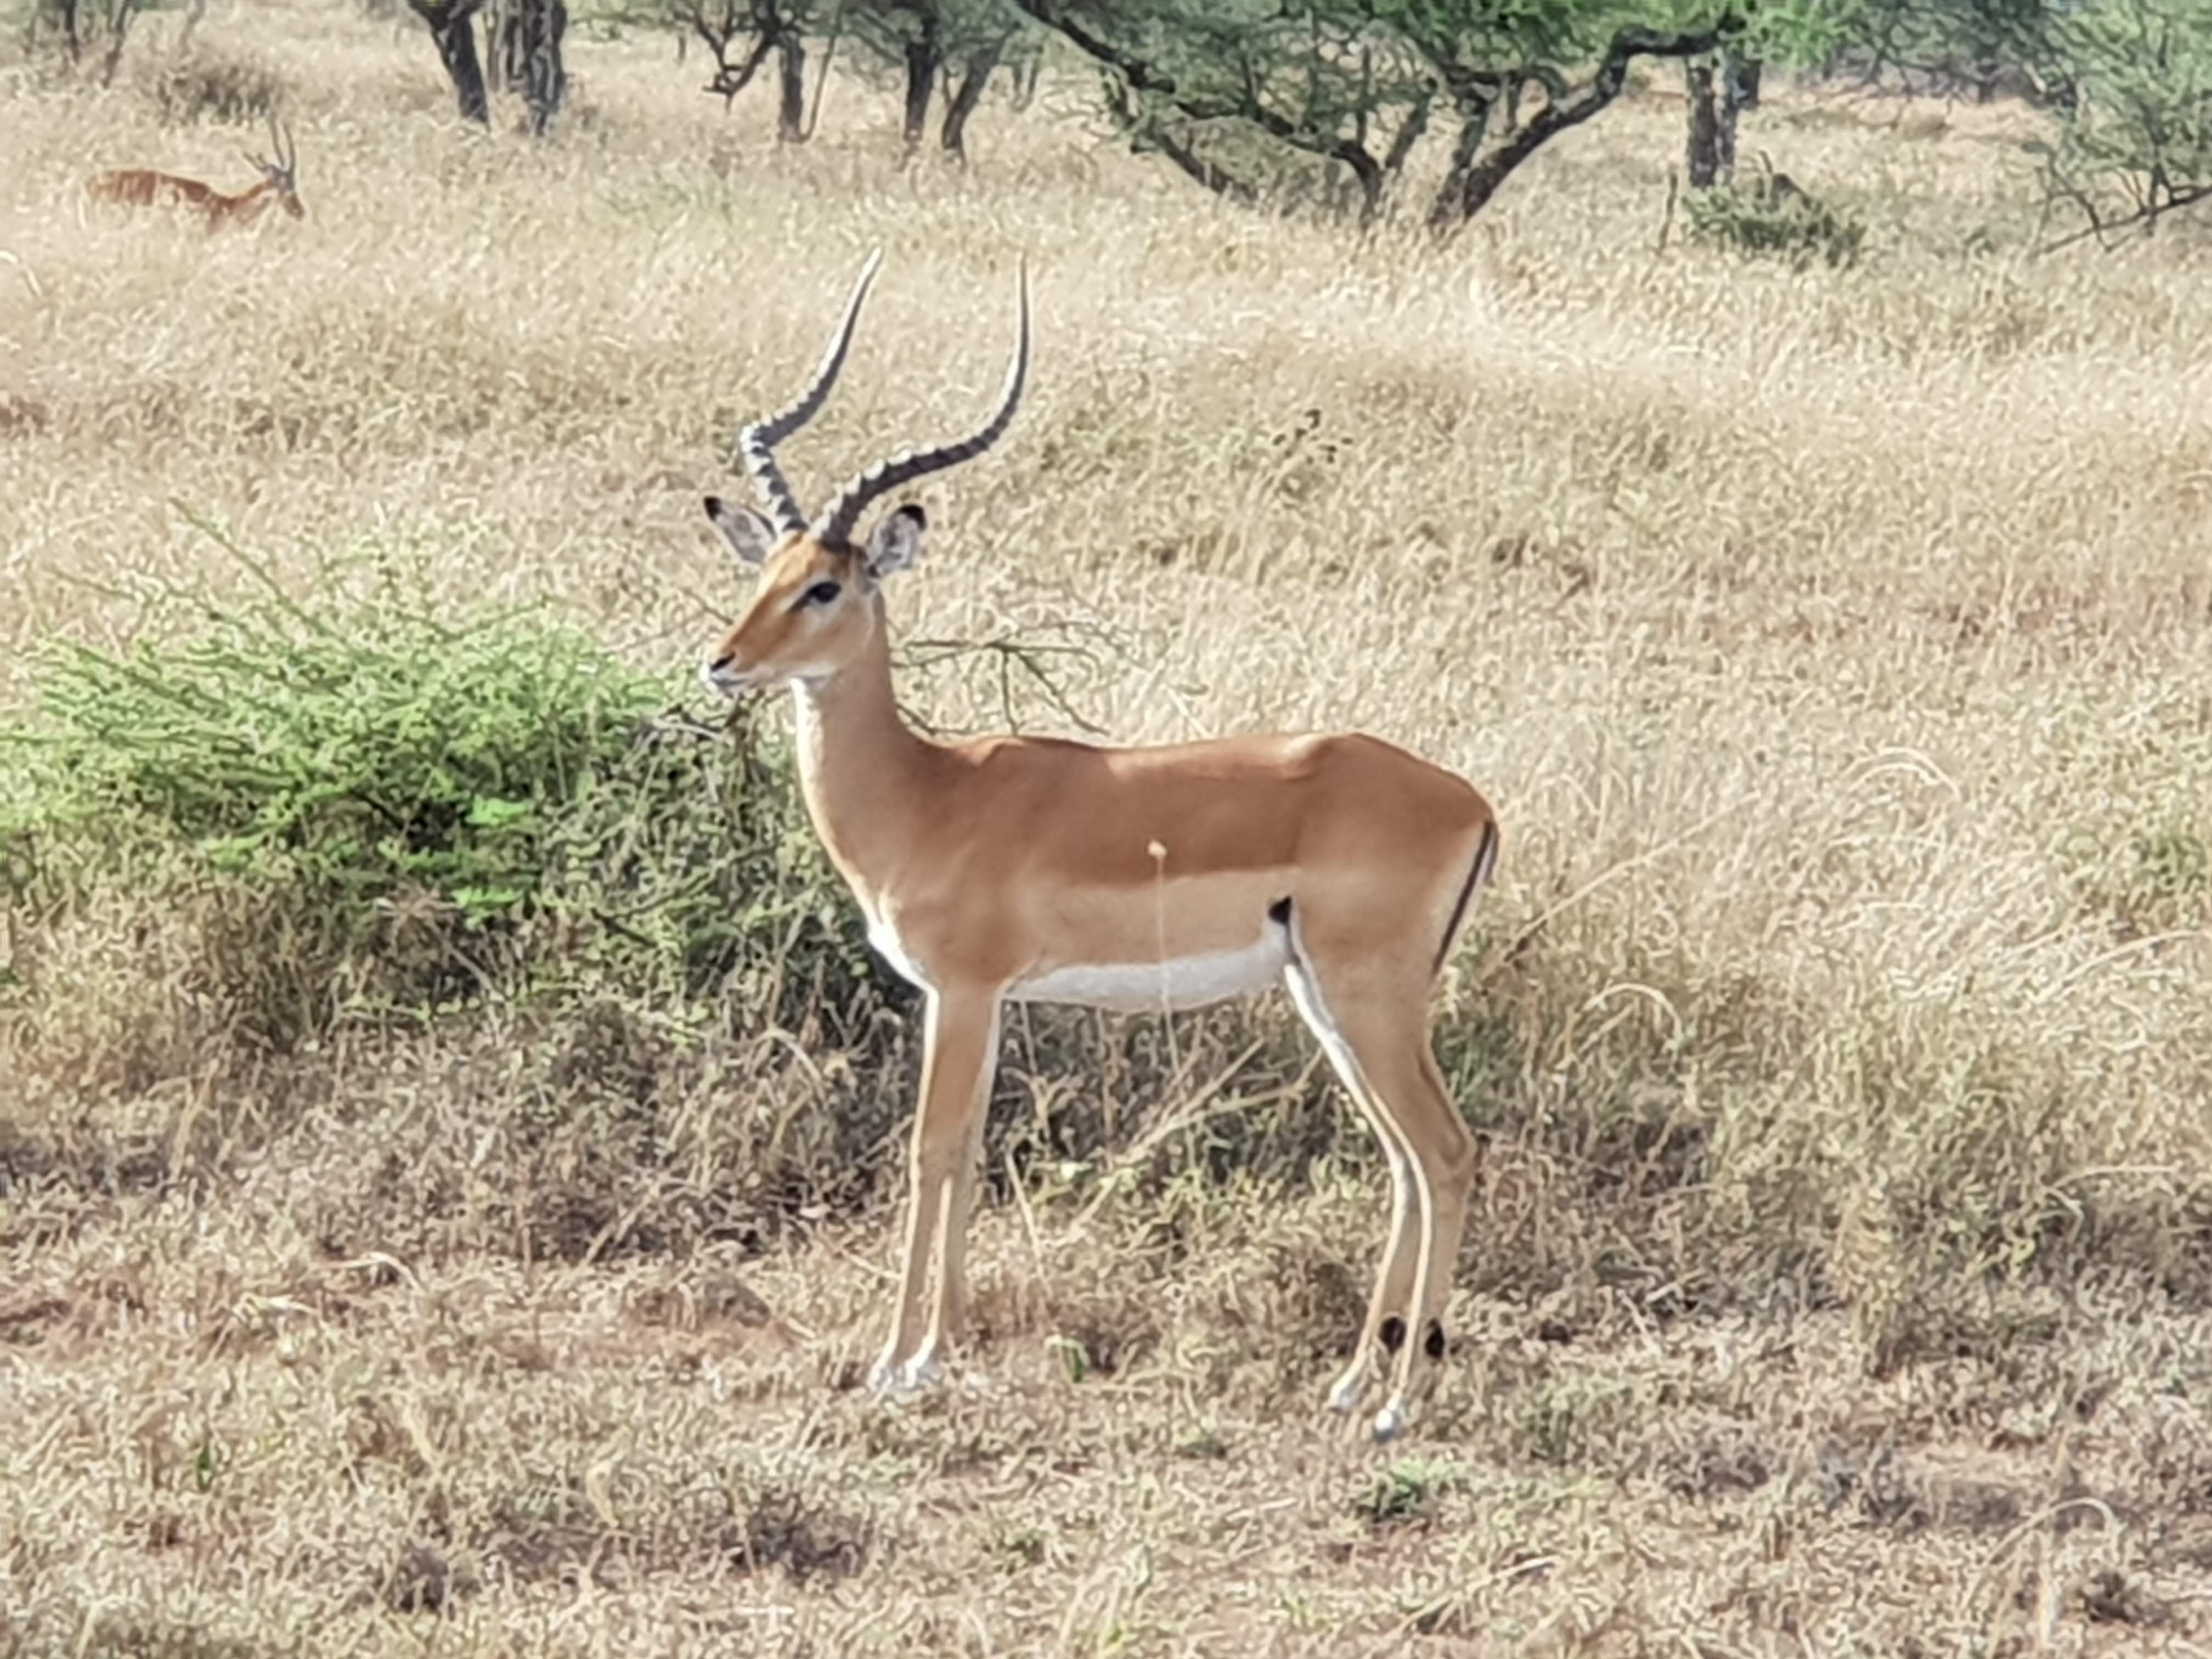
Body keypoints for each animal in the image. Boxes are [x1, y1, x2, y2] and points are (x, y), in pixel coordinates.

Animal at [697, 253, 1503, 1442]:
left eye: (826, 585)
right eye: (766, 571)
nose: (722, 662)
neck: (929, 793)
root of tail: (1473, 802)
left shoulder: (963, 991)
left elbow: (930, 1149)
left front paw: (896, 1359)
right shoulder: (982, 1002)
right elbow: (972, 1152)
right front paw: (939, 1349)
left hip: (1371, 999)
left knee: (1445, 1152)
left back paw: (1398, 1407)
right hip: (1329, 1000)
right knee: (1404, 1159)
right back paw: (1355, 1382)